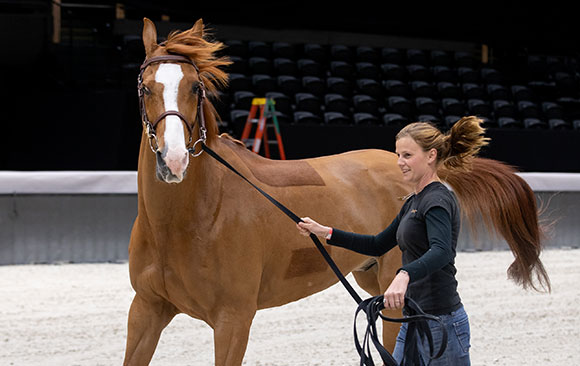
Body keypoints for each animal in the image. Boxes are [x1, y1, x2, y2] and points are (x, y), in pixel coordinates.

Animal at [124, 17, 552, 366]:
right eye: (144, 88)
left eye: (195, 87)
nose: (173, 160)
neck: (188, 221)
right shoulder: (146, 310)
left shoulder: (233, 319)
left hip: (394, 297)